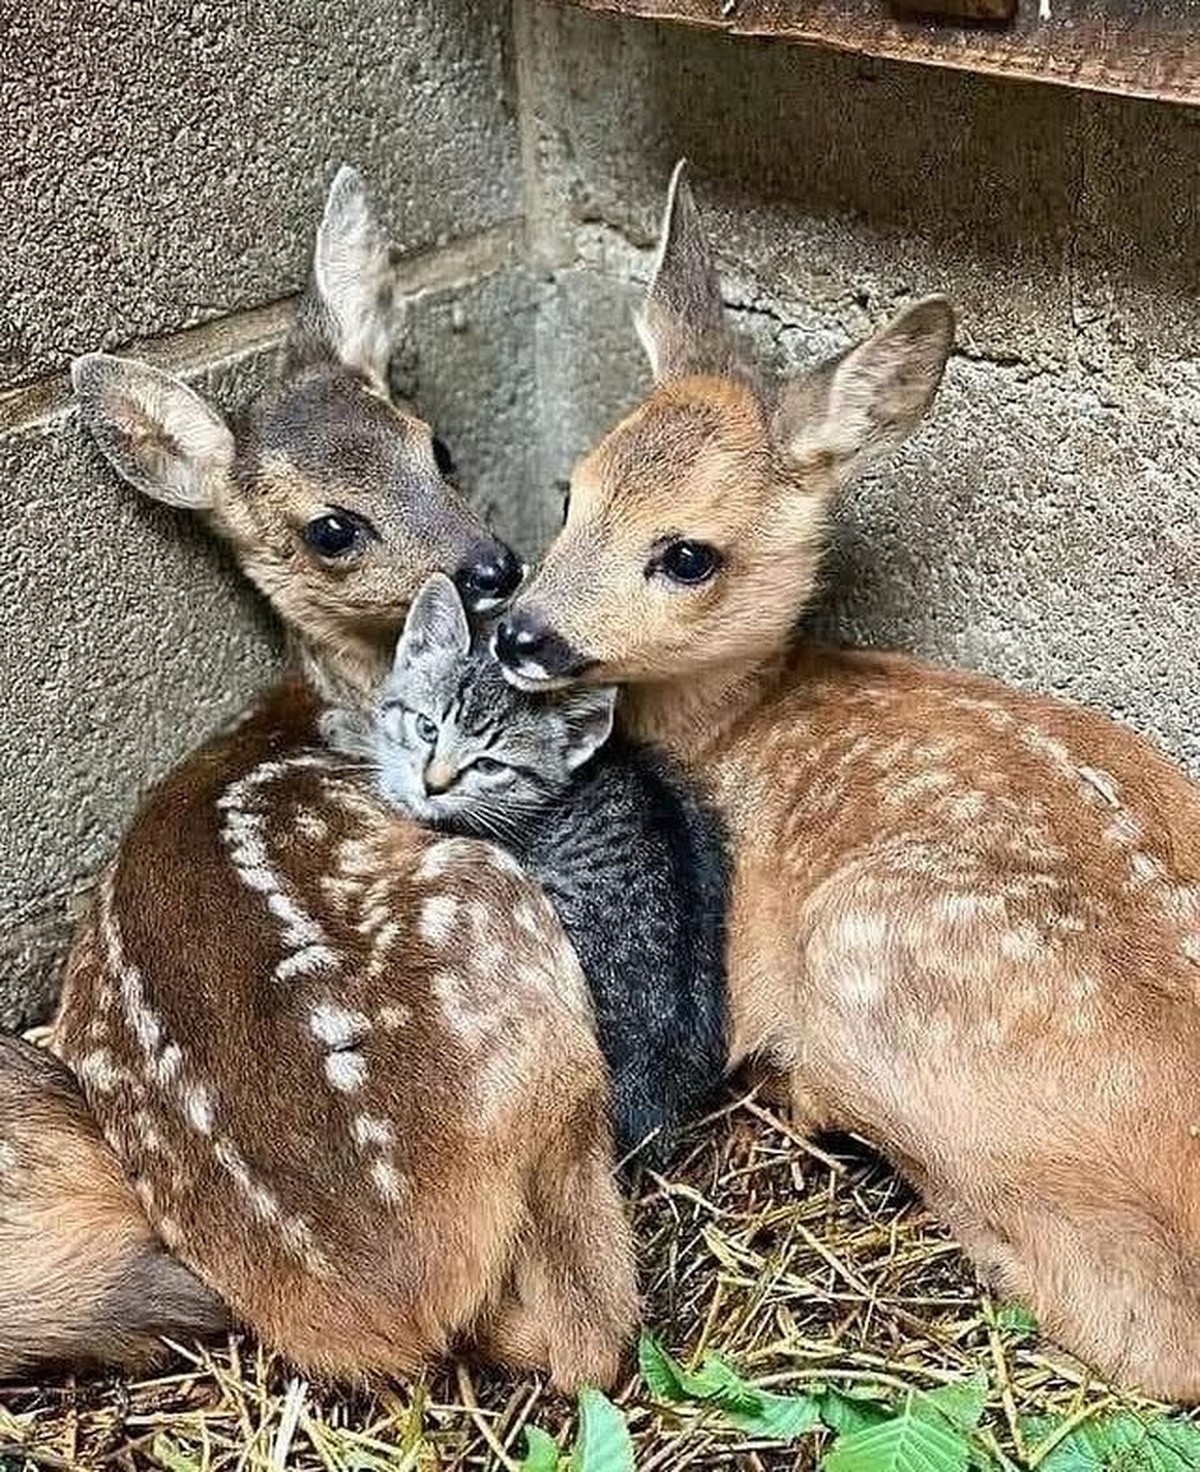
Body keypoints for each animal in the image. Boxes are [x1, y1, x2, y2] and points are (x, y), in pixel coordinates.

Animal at [1, 166, 638, 1390]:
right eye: (332, 529)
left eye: (436, 448)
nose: (491, 565)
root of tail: (395, 1287)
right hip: (504, 933)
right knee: (585, 1330)